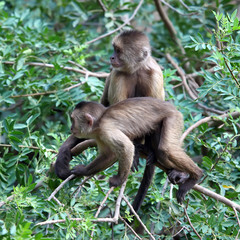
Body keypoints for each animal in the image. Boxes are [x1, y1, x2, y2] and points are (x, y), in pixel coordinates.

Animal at [55, 29, 188, 210]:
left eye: (118, 51)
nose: (111, 57)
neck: (137, 69)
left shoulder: (155, 74)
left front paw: (145, 150)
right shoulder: (118, 74)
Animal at [68, 97, 203, 202]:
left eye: (73, 120)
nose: (71, 128)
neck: (99, 122)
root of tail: (171, 106)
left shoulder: (106, 129)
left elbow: (126, 148)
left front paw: (119, 180)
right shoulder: (99, 135)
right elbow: (108, 155)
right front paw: (83, 170)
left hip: (173, 117)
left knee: (166, 149)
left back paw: (195, 175)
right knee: (162, 153)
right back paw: (179, 172)